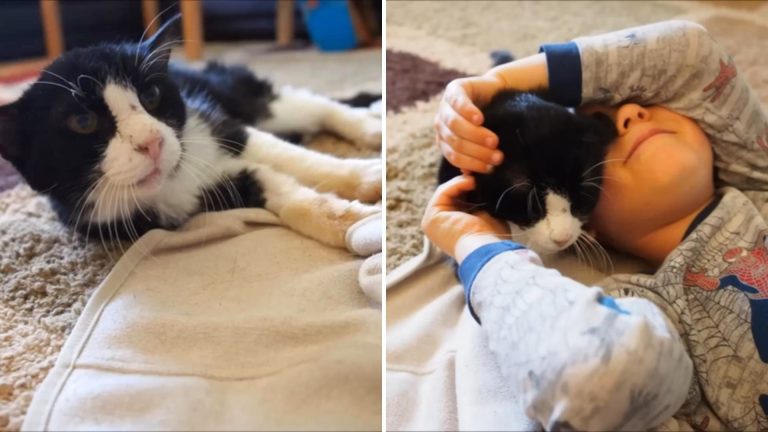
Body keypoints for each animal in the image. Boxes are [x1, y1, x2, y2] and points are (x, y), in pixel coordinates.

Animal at [0, 15, 382, 250]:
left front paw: (366, 178)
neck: (174, 177)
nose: (152, 142)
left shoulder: (216, 123)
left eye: (151, 95)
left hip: (235, 92)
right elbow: (275, 187)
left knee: (308, 105)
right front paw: (352, 221)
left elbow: (292, 157)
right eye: (82, 122)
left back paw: (371, 123)